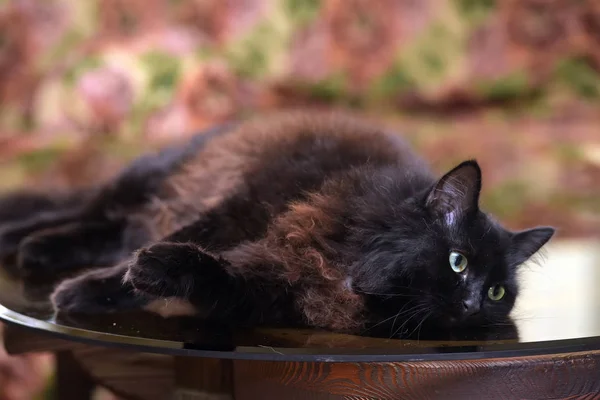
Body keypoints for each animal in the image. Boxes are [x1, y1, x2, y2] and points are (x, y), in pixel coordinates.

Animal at [0, 112, 556, 338]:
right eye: (457, 261)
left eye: (497, 293)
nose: (472, 305)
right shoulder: (241, 206)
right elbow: (183, 241)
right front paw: (89, 289)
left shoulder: (264, 290)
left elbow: (210, 272)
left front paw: (138, 275)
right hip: (149, 178)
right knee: (88, 214)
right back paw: (25, 242)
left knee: (107, 227)